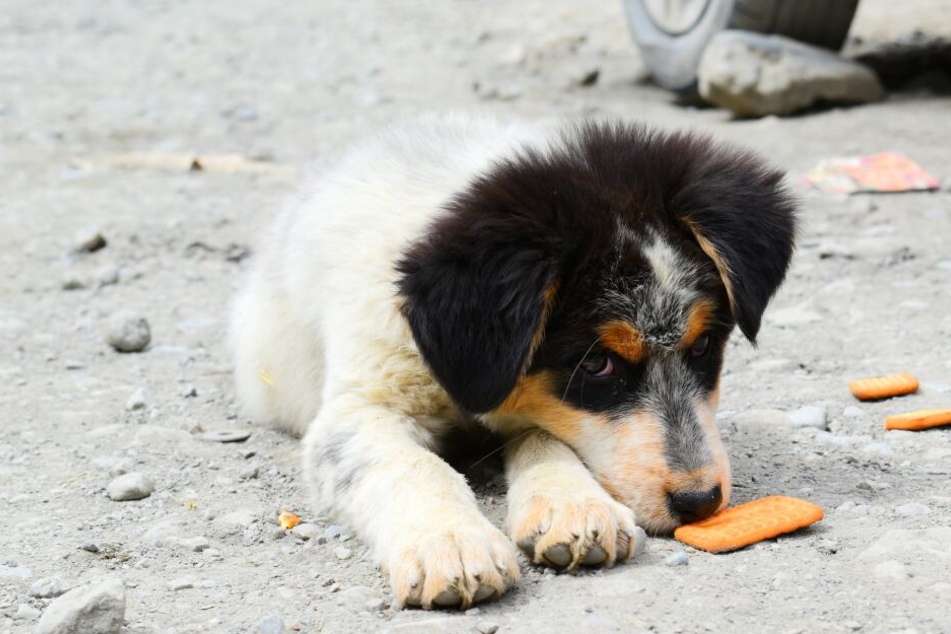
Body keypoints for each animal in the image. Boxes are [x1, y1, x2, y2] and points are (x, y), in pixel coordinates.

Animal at [231, 113, 796, 608]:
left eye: (702, 347)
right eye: (597, 365)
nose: (699, 502)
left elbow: (545, 434)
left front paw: (574, 507)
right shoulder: (361, 405)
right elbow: (411, 465)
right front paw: (451, 545)